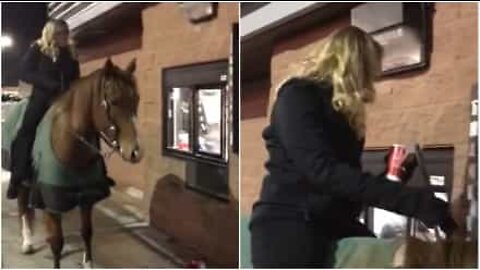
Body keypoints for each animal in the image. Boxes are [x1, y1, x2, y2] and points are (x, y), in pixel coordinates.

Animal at [15, 58, 142, 266]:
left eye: (136, 99)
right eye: (114, 100)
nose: (135, 152)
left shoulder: (86, 198)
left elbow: (87, 232)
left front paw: (88, 263)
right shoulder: (51, 201)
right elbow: (56, 243)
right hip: (22, 183)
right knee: (23, 207)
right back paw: (27, 242)